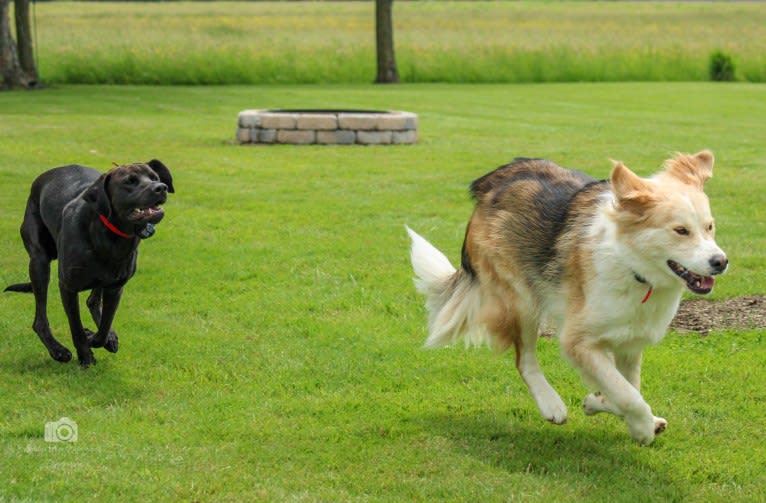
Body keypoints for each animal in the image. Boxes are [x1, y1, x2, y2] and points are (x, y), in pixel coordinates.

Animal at [6, 160, 175, 366]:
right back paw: (57, 350)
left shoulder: (115, 288)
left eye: (154, 177)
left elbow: (104, 327)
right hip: (39, 262)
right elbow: (76, 326)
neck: (111, 237)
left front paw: (98, 337)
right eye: (129, 181)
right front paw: (85, 355)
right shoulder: (68, 286)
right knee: (40, 319)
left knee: (93, 301)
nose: (161, 187)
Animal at [404, 152, 728, 442]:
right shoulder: (578, 341)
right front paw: (641, 427)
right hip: (522, 301)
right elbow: (628, 395)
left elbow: (625, 387)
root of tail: (494, 181)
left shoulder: (629, 341)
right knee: (525, 360)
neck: (631, 263)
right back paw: (551, 404)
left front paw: (598, 403)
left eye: (710, 227)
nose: (720, 261)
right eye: (681, 231)